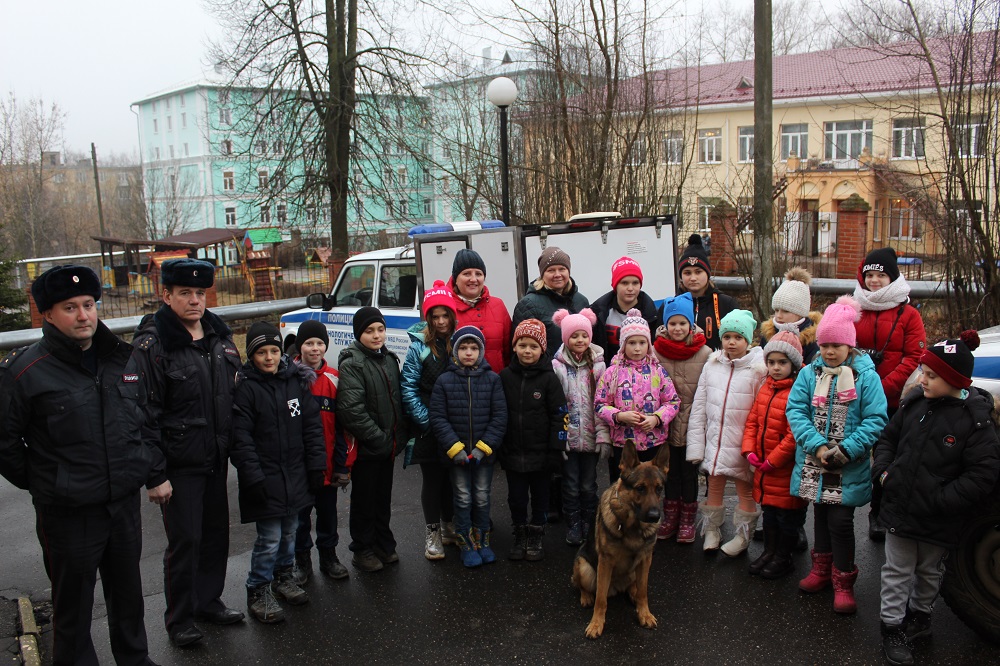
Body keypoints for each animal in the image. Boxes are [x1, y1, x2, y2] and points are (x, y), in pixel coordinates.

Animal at [576, 438, 668, 636]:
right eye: (640, 488)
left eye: (659, 489)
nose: (654, 517)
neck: (632, 527)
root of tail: (616, 587)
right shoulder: (605, 562)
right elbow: (600, 599)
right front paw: (596, 624)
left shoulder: (645, 560)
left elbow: (643, 592)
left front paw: (644, 614)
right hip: (585, 568)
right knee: (583, 586)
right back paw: (586, 596)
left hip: (636, 570)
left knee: (634, 587)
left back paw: (632, 594)